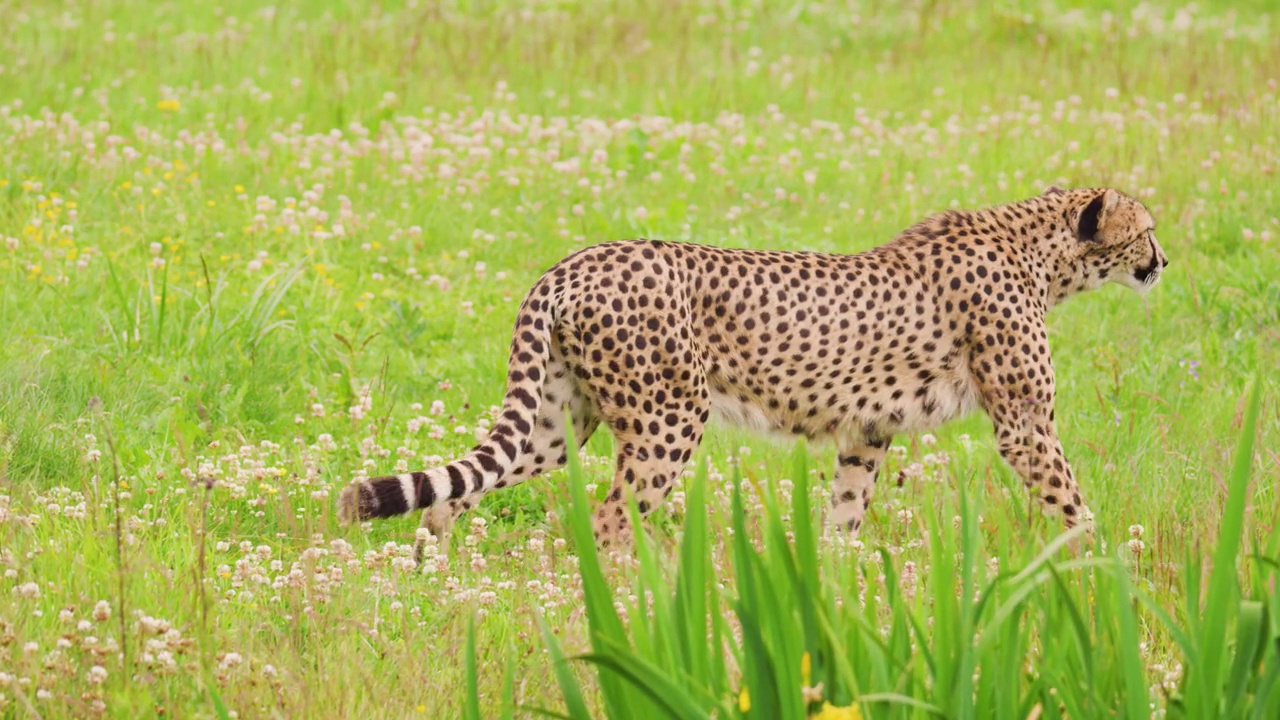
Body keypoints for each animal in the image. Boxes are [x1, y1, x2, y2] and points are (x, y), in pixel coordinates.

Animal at [340, 184, 1172, 548]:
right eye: (1148, 230)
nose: (1164, 261)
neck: (1039, 250)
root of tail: (572, 262)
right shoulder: (1025, 427)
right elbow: (1072, 501)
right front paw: (1107, 568)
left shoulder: (867, 431)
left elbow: (845, 512)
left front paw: (833, 585)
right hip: (668, 417)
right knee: (609, 516)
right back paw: (631, 603)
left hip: (557, 424)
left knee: (460, 489)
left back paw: (438, 572)